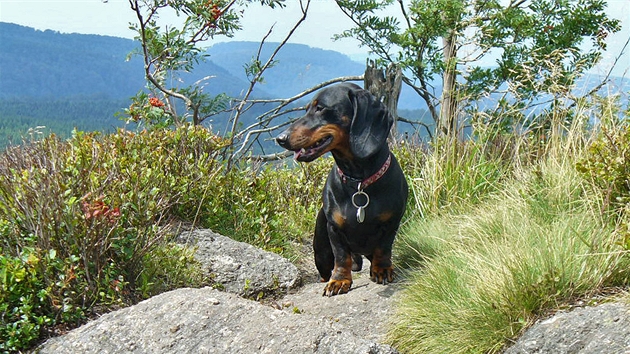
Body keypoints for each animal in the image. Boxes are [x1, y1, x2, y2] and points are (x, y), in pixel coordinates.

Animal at [278, 82, 410, 296]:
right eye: (307, 108)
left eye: (320, 108)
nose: (280, 138)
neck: (359, 182)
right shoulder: (334, 229)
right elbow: (341, 257)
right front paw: (339, 280)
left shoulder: (391, 223)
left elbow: (384, 248)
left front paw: (382, 269)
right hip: (321, 254)